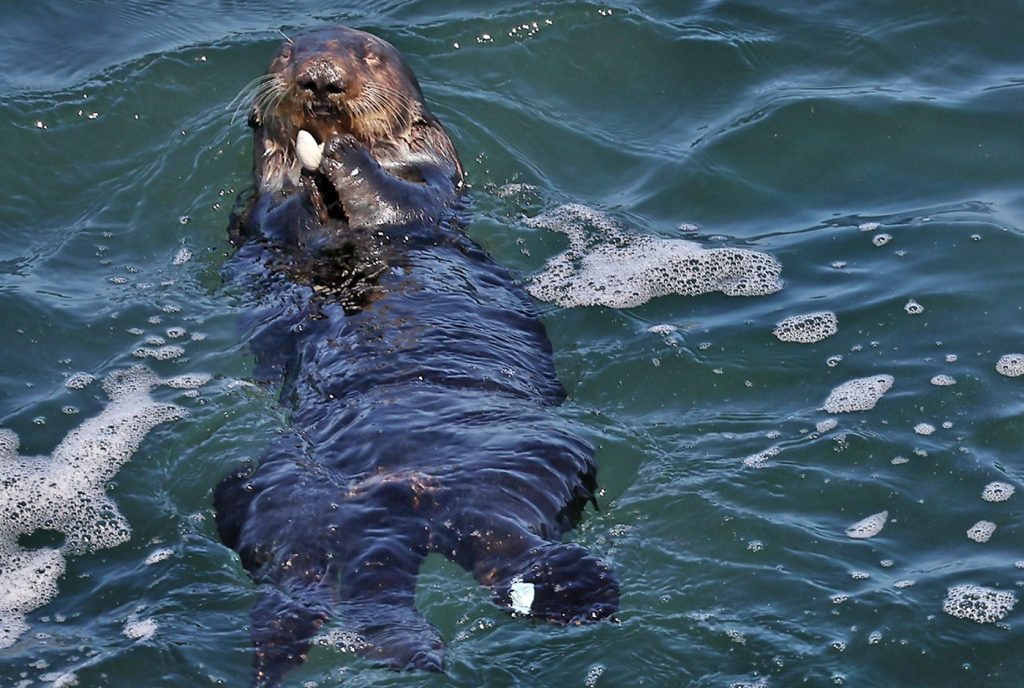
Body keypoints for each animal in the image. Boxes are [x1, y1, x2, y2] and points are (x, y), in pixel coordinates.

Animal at [214, 24, 614, 683]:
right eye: (288, 52)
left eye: (369, 56)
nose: (320, 78)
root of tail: (398, 502)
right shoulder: (259, 215)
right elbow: (275, 212)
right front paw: (304, 171)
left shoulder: (434, 176)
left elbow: (402, 199)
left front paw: (341, 152)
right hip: (266, 497)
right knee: (301, 575)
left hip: (524, 466)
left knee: (501, 543)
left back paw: (572, 595)